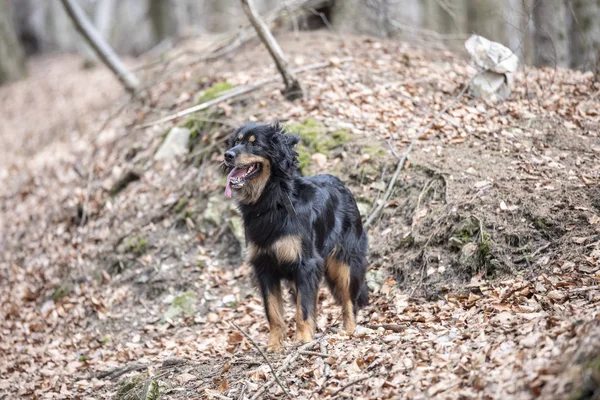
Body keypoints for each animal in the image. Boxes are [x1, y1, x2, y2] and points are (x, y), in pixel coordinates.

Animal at [223, 122, 368, 350]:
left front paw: (302, 340)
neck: (272, 202)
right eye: (236, 142)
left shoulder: (306, 265)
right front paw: (274, 345)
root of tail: (342, 184)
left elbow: (304, 309)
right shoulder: (265, 266)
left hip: (345, 261)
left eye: (255, 144)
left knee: (349, 301)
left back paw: (350, 331)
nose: (227, 155)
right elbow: (273, 311)